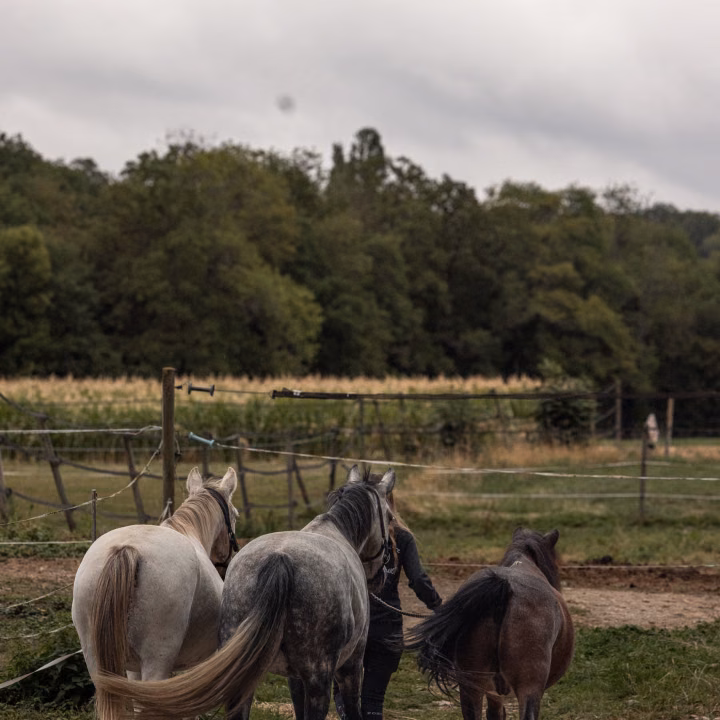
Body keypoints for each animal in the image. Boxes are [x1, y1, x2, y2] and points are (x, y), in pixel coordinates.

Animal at [92, 464, 396, 720]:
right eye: (390, 518)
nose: (382, 575)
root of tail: (280, 559)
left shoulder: (294, 676)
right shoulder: (349, 666)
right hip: (316, 675)